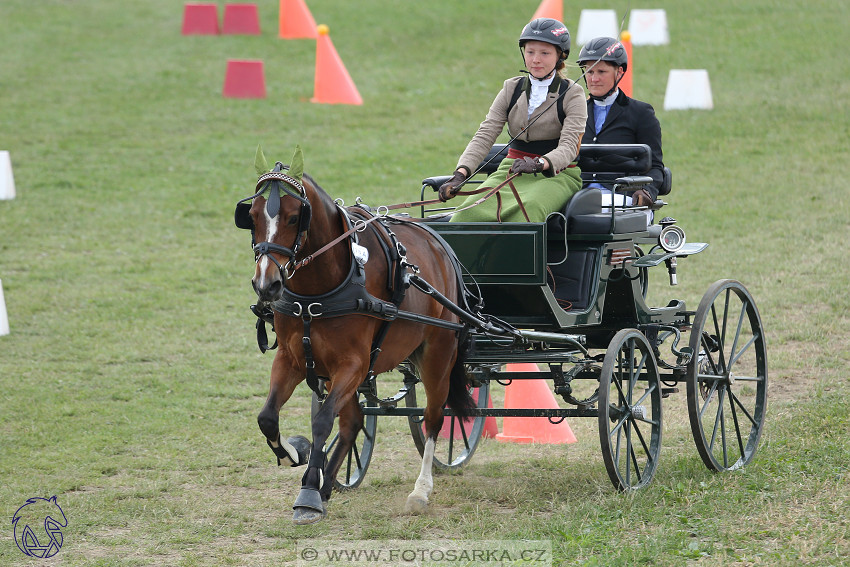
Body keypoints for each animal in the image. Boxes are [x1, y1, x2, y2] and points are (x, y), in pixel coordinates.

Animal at [235, 148, 474, 528]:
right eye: (253, 216)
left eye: (293, 217)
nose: (266, 285)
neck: (321, 287)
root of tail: (438, 244)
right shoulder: (293, 358)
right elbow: (268, 417)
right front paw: (295, 455)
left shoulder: (353, 363)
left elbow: (321, 421)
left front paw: (307, 493)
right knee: (353, 423)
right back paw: (326, 485)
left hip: (438, 355)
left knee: (434, 417)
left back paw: (420, 491)